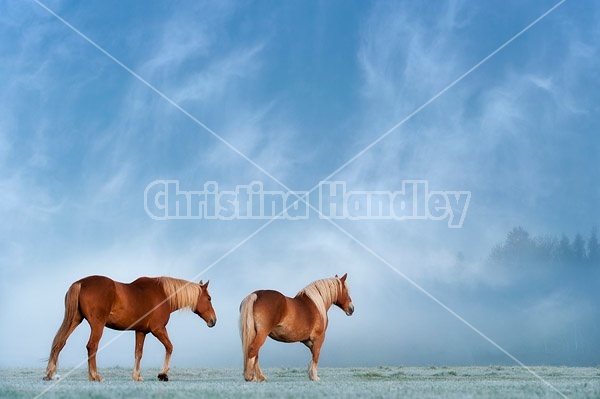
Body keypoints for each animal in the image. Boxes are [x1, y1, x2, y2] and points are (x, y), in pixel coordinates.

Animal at [42, 276, 216, 382]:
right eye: (209, 298)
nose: (213, 321)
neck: (164, 295)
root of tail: (81, 283)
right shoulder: (158, 329)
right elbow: (170, 347)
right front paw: (163, 374)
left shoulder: (141, 332)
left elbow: (138, 353)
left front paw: (137, 376)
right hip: (97, 325)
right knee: (92, 346)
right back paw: (95, 376)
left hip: (75, 320)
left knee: (59, 343)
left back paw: (50, 374)